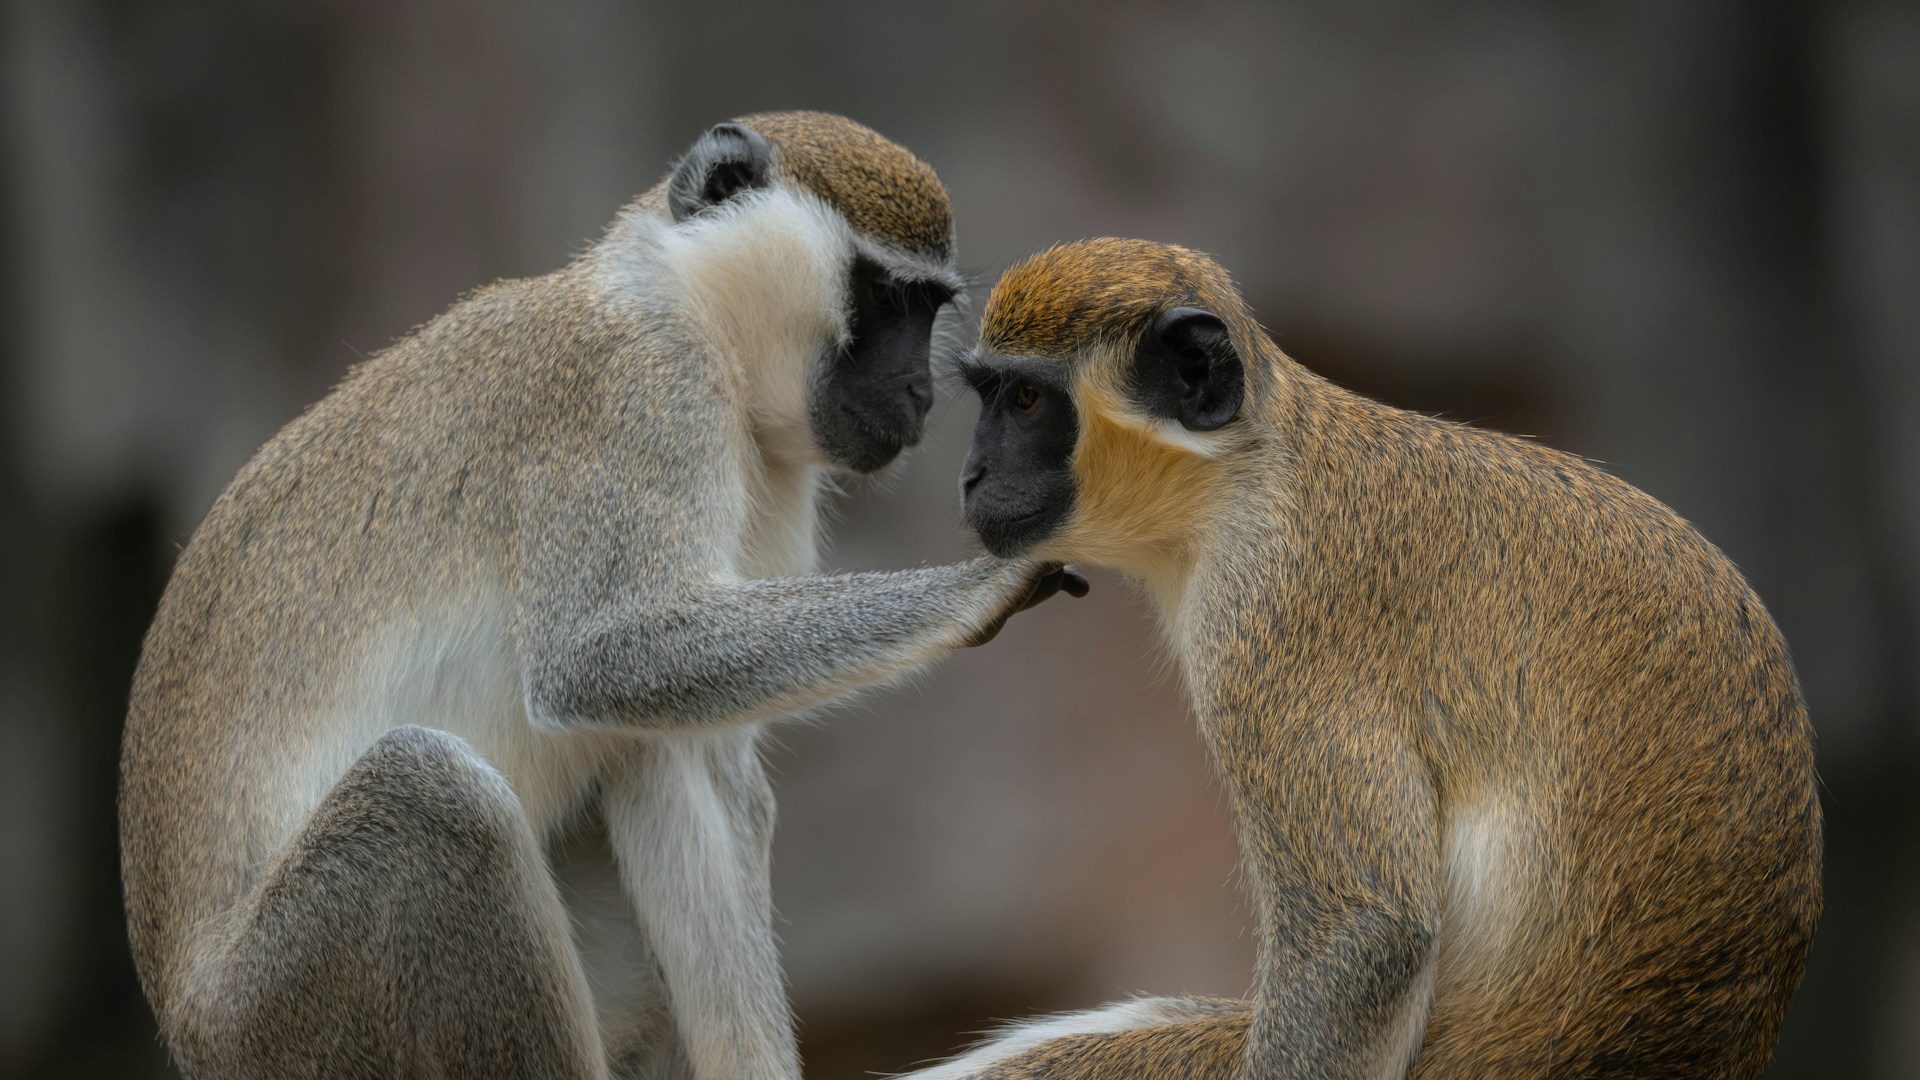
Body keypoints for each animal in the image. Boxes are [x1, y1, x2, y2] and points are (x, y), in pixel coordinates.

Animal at [118, 112, 1084, 1080]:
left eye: (928, 308)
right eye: (885, 299)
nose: (919, 393)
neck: (688, 306)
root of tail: (191, 1031)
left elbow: (703, 746)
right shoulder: (639, 392)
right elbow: (600, 655)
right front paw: (983, 585)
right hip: (299, 1010)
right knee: (441, 790)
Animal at [901, 238, 1821, 1079]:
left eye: (1026, 401)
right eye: (991, 397)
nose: (971, 475)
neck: (1246, 471)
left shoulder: (1267, 613)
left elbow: (1362, 933)